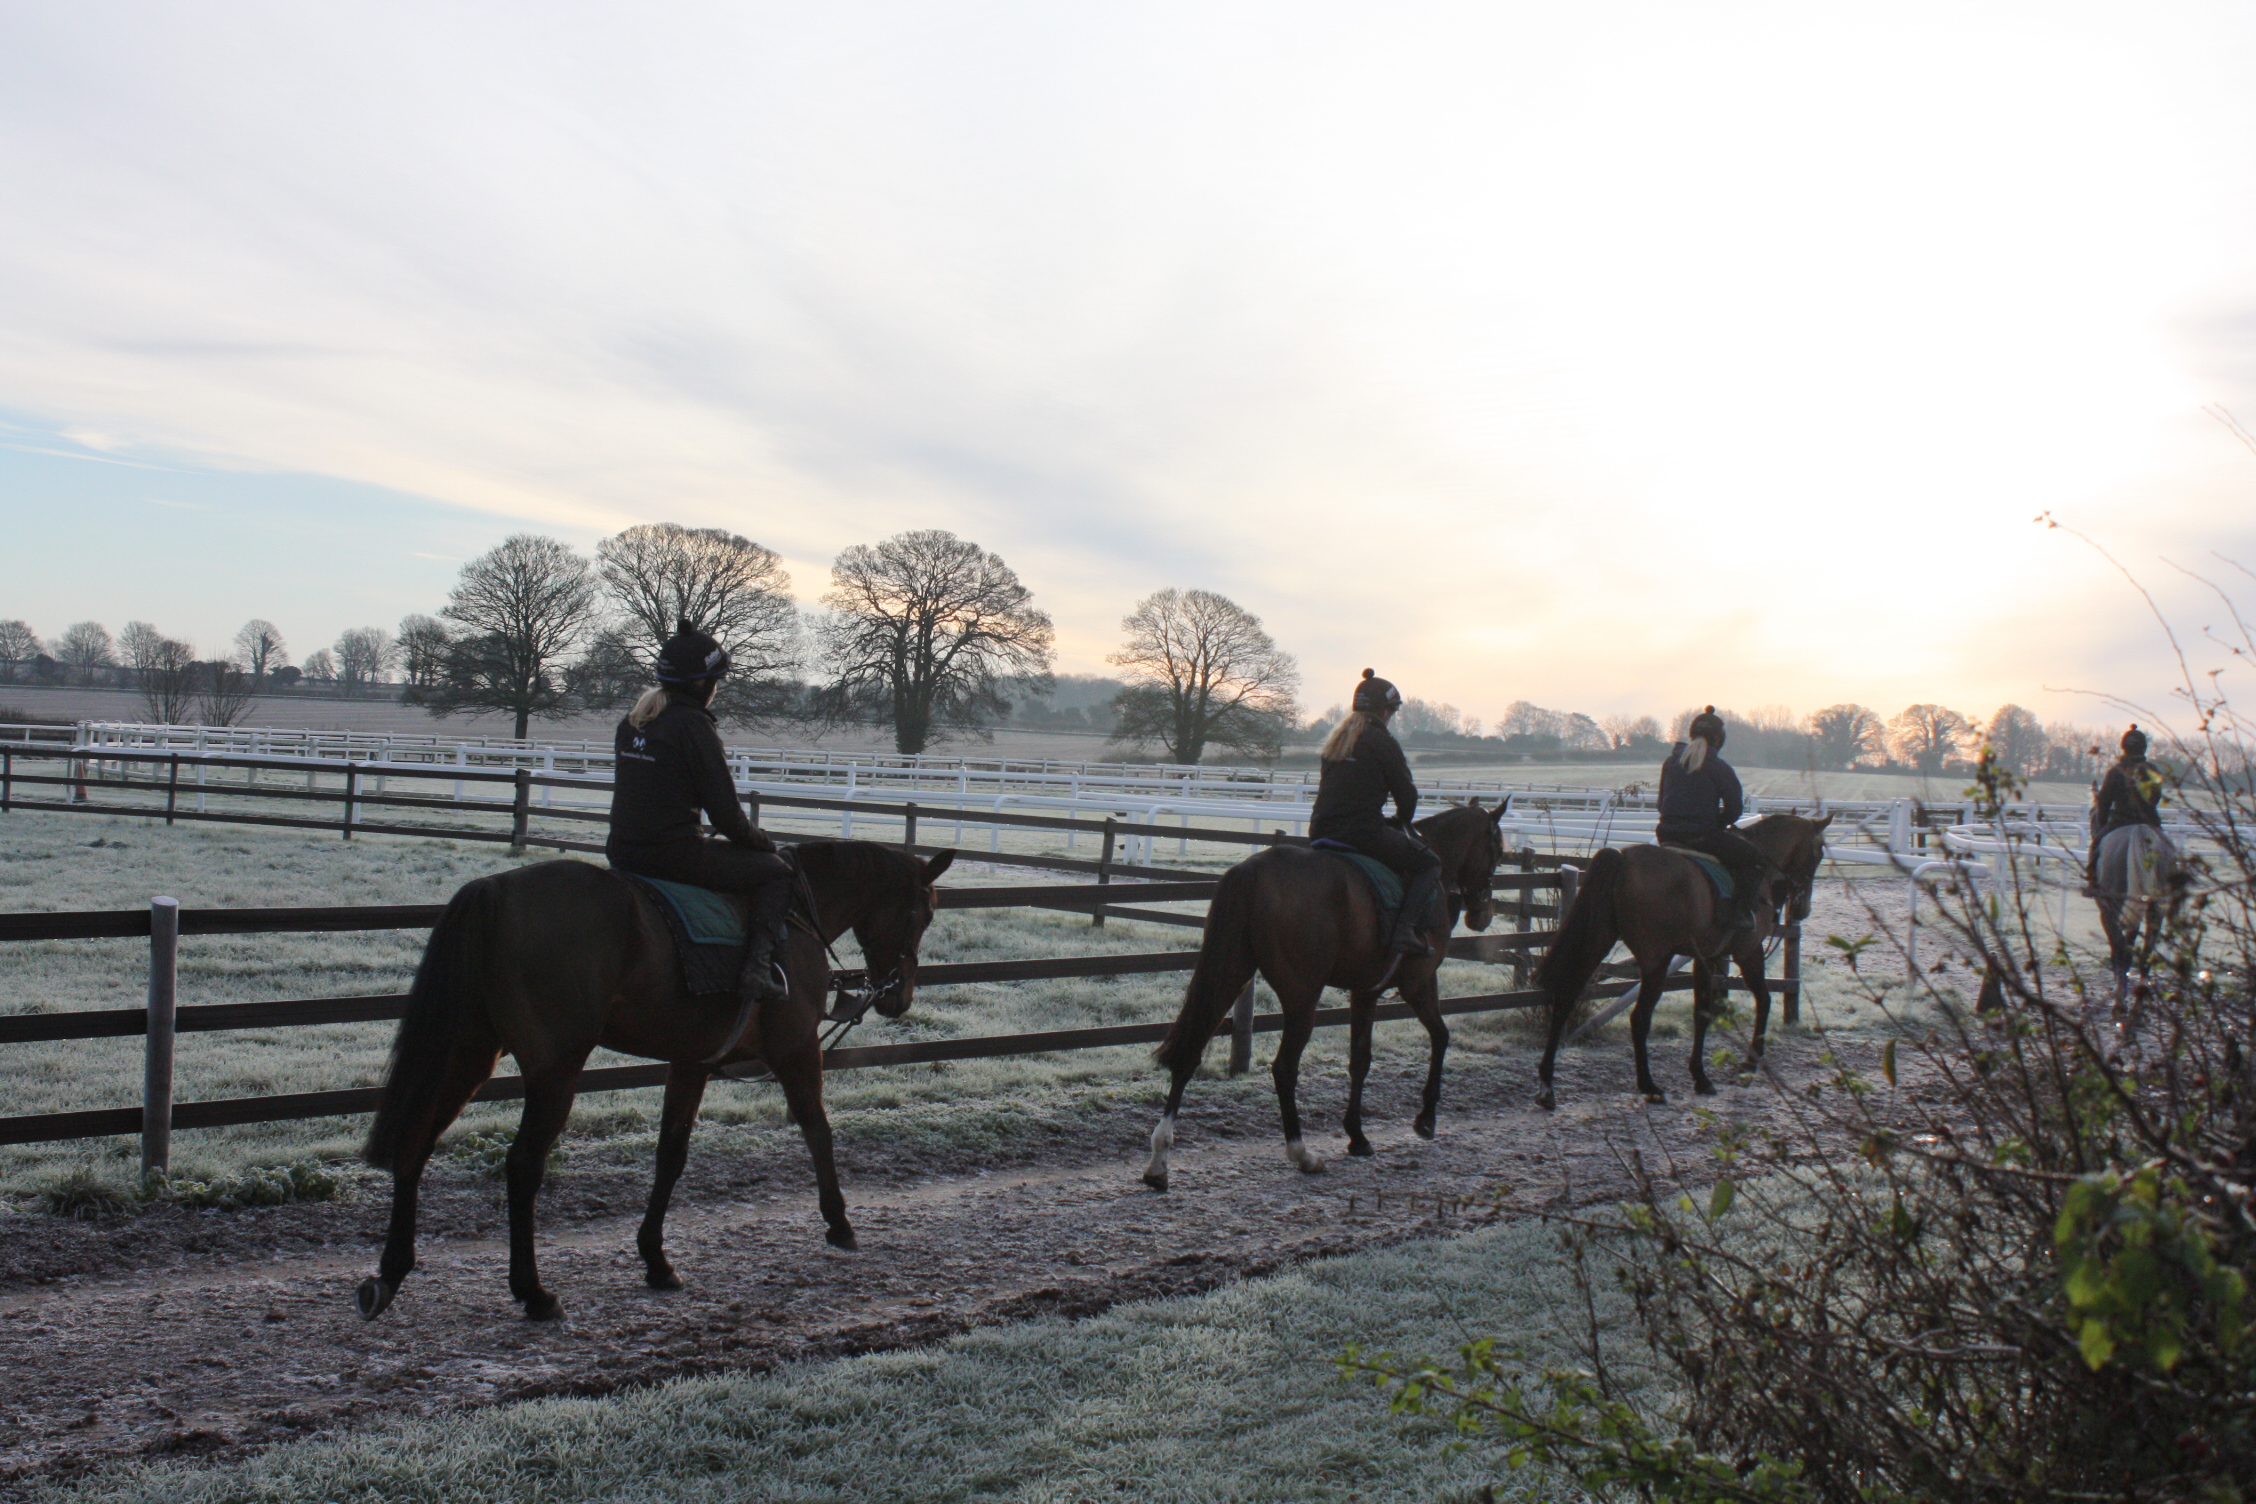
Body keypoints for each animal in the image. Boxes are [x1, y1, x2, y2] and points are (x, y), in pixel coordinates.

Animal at [356, 843, 956, 1325]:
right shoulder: (796, 1051)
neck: (795, 915)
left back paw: (392, 1272)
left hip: (469, 1052)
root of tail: (496, 889)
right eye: (922, 911)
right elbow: (818, 1130)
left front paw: (656, 1258)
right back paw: (534, 1292)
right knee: (524, 1164)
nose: (899, 996)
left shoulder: (690, 1063)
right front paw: (839, 1222)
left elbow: (671, 1153)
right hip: (555, 1070)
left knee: (417, 1141)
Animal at [1137, 798, 1507, 1190]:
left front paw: (1357, 1136)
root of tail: (1253, 871)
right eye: (1497, 850)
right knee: (1284, 1067)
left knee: (1189, 1053)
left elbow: (1360, 1059)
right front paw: (1426, 1119)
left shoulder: (1366, 992)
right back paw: (1301, 1153)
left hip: (1229, 972)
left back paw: (1159, 1161)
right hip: (1302, 994)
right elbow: (1440, 1036)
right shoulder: (1419, 983)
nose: (1483, 914)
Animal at [1534, 816, 1831, 1113]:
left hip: (1597, 940)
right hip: (1656, 960)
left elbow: (1702, 1013)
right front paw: (1749, 1063)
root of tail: (1623, 857)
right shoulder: (1749, 952)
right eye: (1818, 855)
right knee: (1639, 1017)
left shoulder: (1705, 957)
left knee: (1565, 999)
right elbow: (1764, 1000)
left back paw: (1547, 1087)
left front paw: (1700, 1077)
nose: (1802, 909)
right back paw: (1649, 1086)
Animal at [2084, 829, 2174, 1005]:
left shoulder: (2107, 914)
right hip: (2154, 910)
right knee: (2147, 948)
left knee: (2120, 946)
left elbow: (2117, 945)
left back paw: (2120, 995)